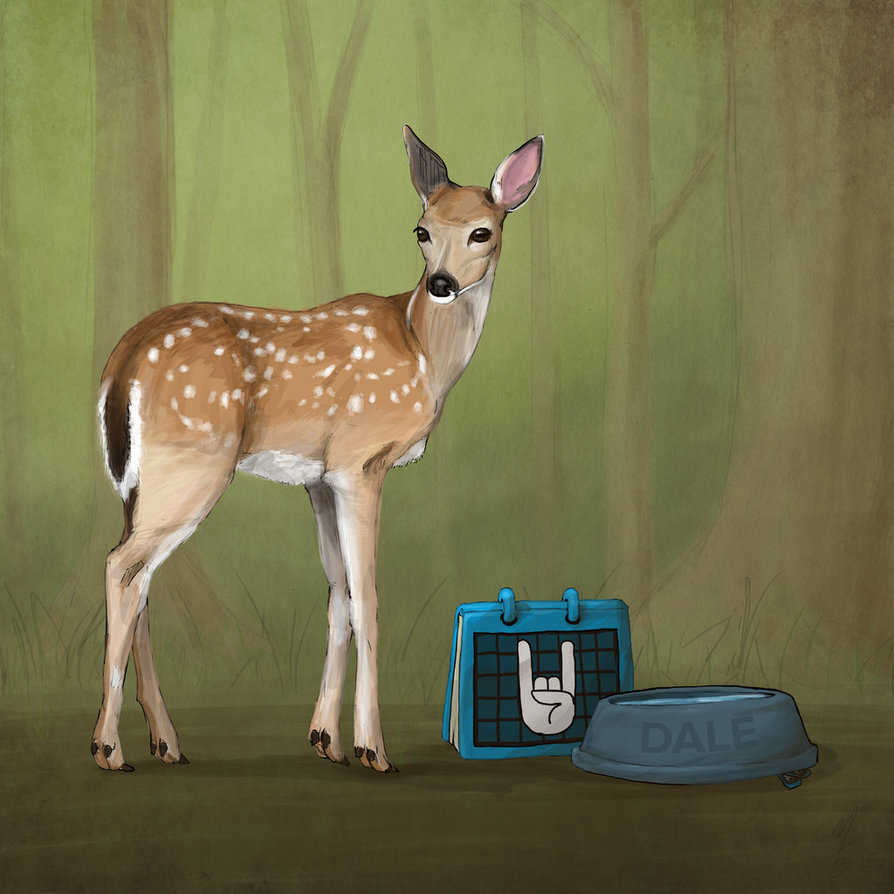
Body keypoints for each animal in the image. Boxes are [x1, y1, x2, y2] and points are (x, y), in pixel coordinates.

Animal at [92, 125, 543, 773]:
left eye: (482, 230)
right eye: (422, 229)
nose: (441, 283)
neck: (424, 356)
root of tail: (121, 360)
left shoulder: (319, 477)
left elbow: (337, 596)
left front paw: (325, 739)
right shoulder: (361, 462)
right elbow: (368, 601)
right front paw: (373, 749)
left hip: (137, 479)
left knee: (139, 574)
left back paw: (166, 743)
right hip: (193, 464)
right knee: (121, 566)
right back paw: (108, 748)